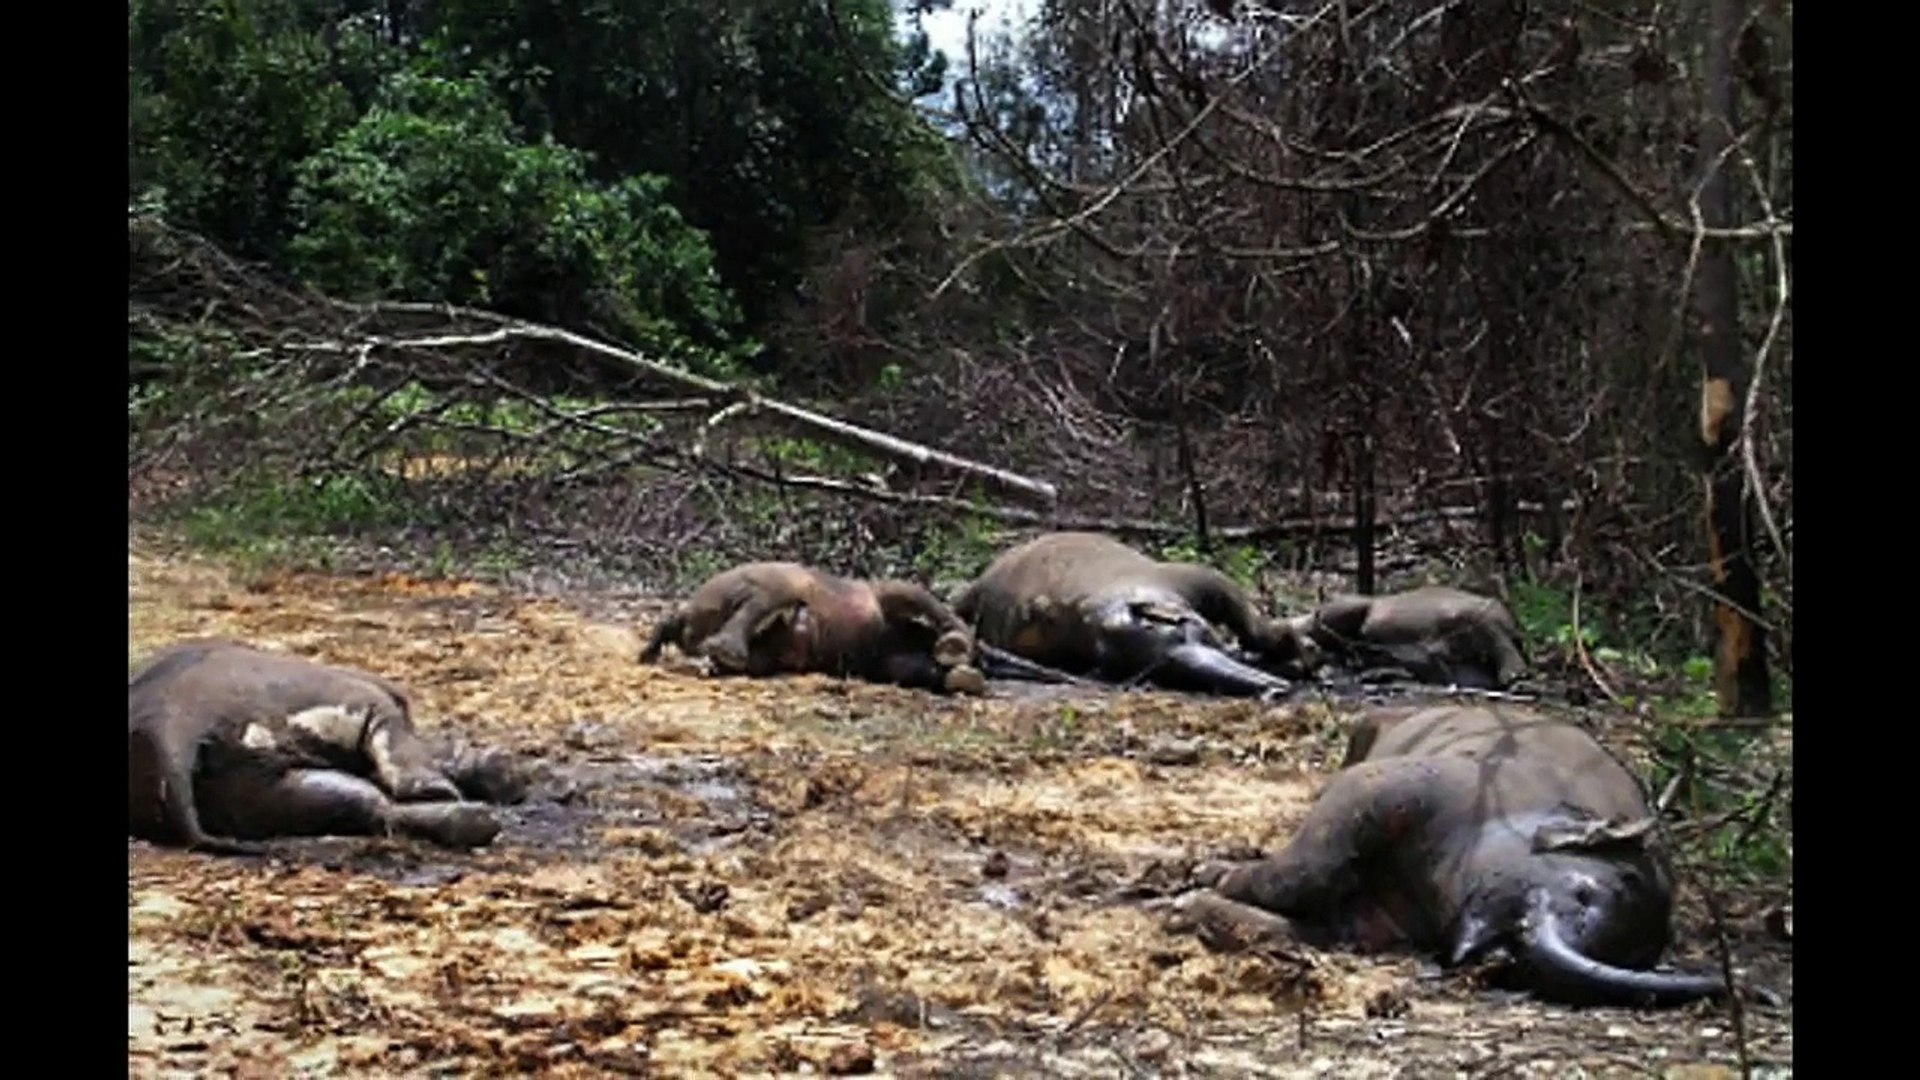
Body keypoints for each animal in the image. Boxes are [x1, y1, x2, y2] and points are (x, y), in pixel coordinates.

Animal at [129, 639, 526, 856]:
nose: (513, 776)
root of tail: (172, 719)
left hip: (260, 791)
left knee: (366, 804)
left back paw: (472, 822)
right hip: (333, 699)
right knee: (385, 779)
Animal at [639, 561, 991, 694]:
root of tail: (693, 612)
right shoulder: (886, 595)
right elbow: (923, 600)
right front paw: (958, 656)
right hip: (776, 582)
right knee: (759, 604)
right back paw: (725, 652)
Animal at [1177, 703, 1735, 1008]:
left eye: (1507, 955)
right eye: (1582, 891)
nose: (1516, 947)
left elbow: (1302, 888)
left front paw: (1196, 893)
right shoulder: (1382, 788)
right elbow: (1303, 873)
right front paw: (1204, 878)